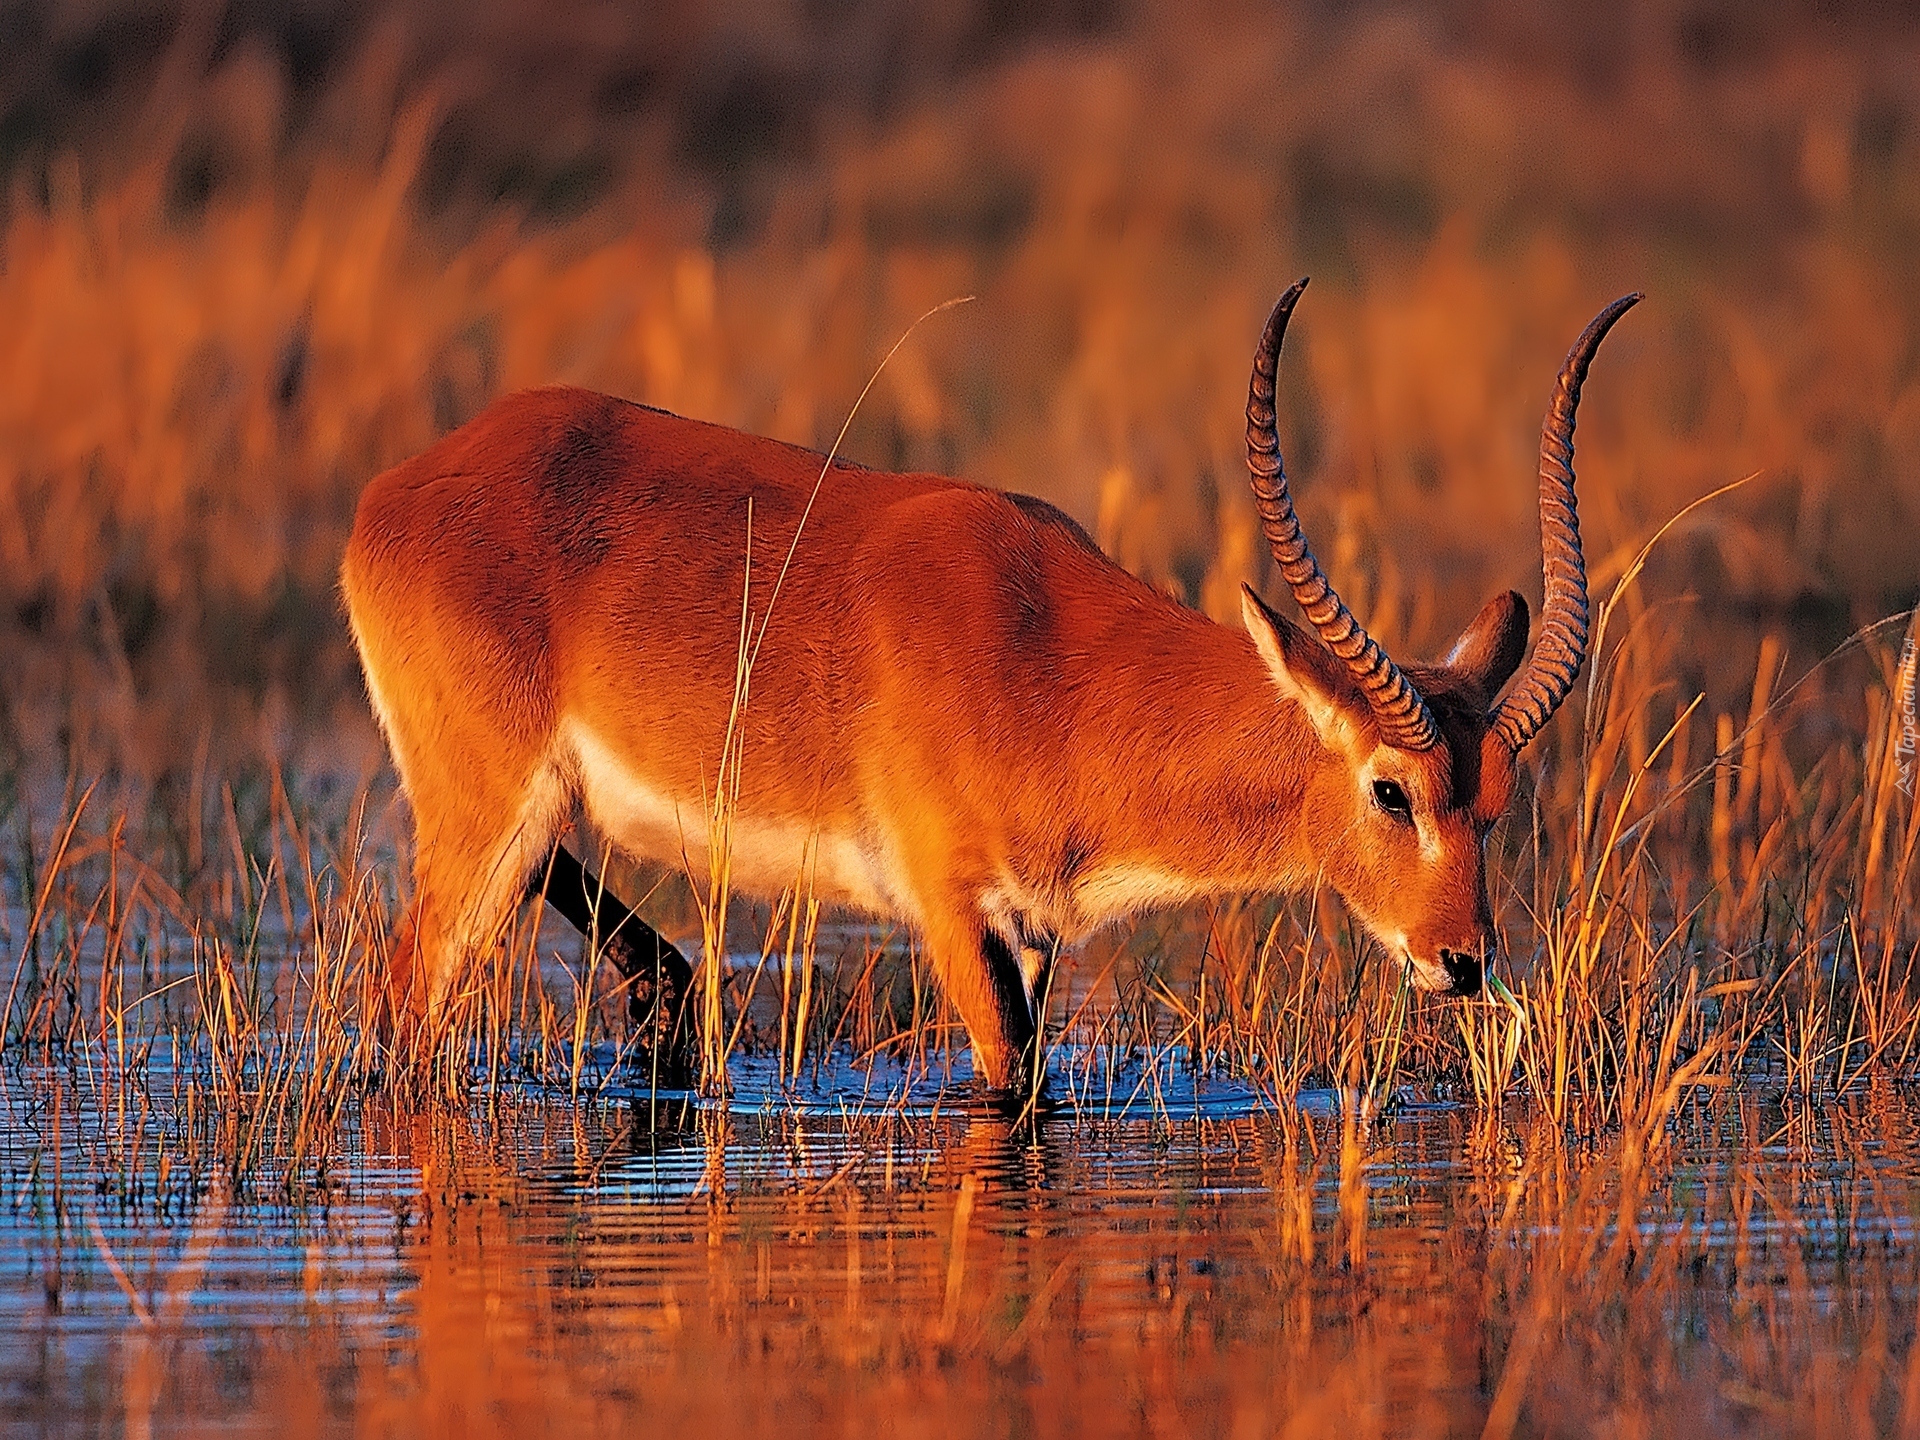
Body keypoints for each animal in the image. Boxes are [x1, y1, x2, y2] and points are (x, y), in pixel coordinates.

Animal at [341, 278, 1635, 1090]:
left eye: (1497, 805)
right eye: (1390, 791)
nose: (1462, 960)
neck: (1046, 662)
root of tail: (395, 491)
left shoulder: (1034, 931)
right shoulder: (951, 909)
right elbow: (1005, 1077)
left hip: (528, 813)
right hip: (481, 819)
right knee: (400, 1009)